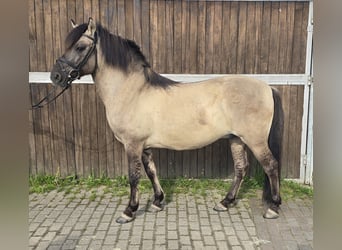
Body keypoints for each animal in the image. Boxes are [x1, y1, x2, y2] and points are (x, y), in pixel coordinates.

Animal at [50, 18, 284, 224]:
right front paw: (157, 201)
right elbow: (151, 171)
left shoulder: (132, 144)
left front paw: (129, 211)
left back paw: (273, 208)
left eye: (80, 47)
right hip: (236, 138)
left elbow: (134, 176)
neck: (133, 92)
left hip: (255, 140)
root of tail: (267, 88)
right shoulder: (144, 146)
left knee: (271, 166)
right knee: (241, 168)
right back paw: (225, 202)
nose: (56, 76)